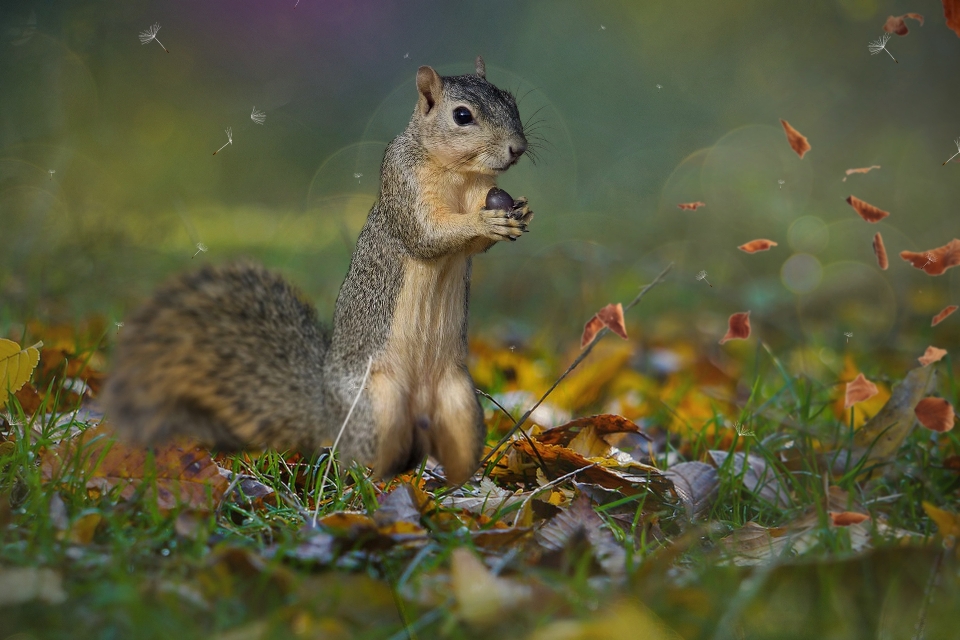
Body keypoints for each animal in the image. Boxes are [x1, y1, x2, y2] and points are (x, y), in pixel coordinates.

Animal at [107, 57, 540, 484]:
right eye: (462, 115)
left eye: (511, 100)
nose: (518, 148)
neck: (458, 172)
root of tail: (327, 415)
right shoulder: (404, 183)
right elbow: (425, 234)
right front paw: (485, 222)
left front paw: (518, 212)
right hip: (376, 406)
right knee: (361, 462)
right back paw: (378, 483)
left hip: (460, 406)